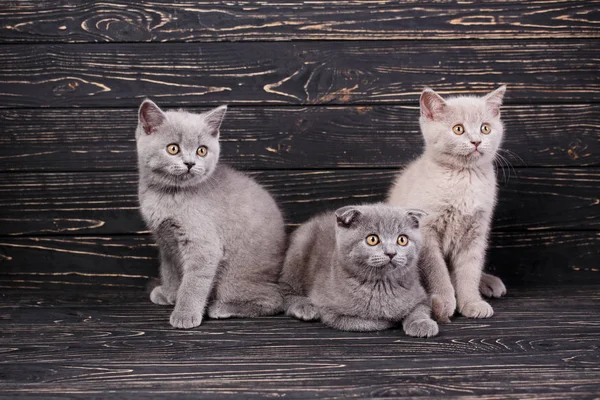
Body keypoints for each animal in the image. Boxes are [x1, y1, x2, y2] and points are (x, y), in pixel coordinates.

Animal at [136, 99, 286, 328]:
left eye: (201, 151)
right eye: (173, 148)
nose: (190, 163)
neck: (168, 195)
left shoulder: (203, 245)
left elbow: (193, 283)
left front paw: (185, 314)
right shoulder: (166, 242)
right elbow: (169, 270)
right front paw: (169, 293)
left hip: (233, 278)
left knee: (275, 299)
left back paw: (221, 308)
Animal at [278, 203, 438, 338]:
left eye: (402, 239)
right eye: (372, 239)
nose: (391, 253)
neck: (381, 286)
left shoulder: (421, 295)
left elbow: (420, 308)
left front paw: (421, 323)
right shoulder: (330, 311)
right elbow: (369, 322)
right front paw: (391, 319)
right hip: (298, 249)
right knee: (285, 288)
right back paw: (303, 306)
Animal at [386, 86, 508, 322]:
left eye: (485, 128)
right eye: (458, 129)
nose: (476, 141)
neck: (464, 177)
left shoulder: (476, 232)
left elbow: (470, 270)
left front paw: (471, 302)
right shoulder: (426, 232)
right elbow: (438, 272)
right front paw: (444, 301)